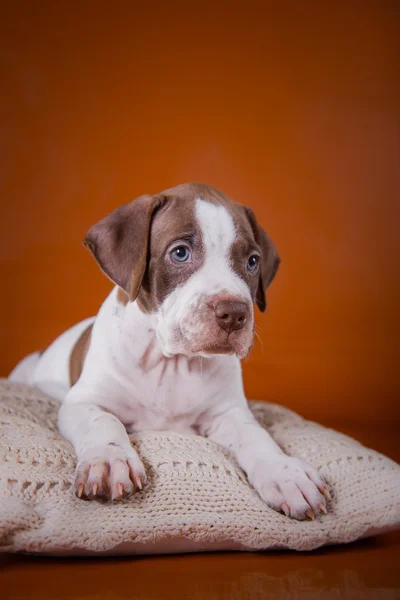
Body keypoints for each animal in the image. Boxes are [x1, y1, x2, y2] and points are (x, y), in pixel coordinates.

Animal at [9, 183, 330, 520]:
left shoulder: (228, 413)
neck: (171, 363)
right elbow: (104, 422)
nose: (234, 313)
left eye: (253, 261)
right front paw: (109, 459)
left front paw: (285, 473)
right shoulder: (82, 402)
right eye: (180, 253)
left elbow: (256, 435)